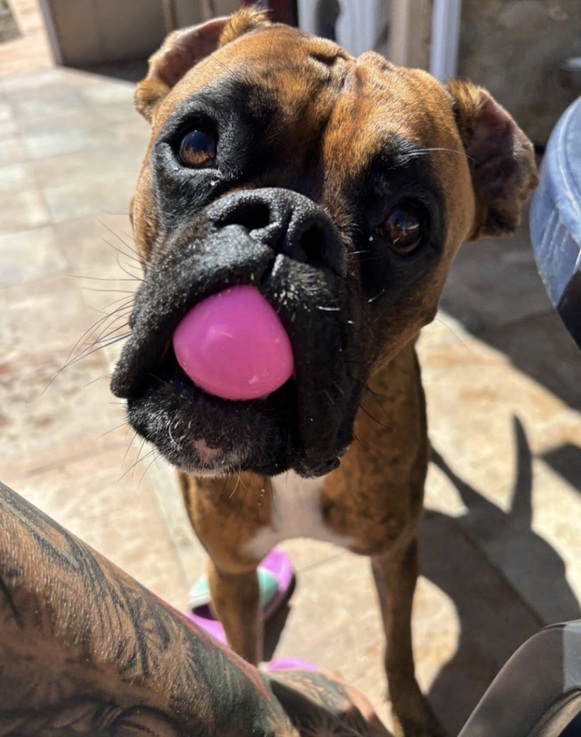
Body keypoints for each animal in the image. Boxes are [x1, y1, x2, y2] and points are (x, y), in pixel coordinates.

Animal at [111, 9, 538, 736]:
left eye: (405, 224)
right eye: (195, 144)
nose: (285, 220)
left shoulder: (395, 557)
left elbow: (398, 649)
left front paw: (412, 712)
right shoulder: (230, 571)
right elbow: (248, 655)